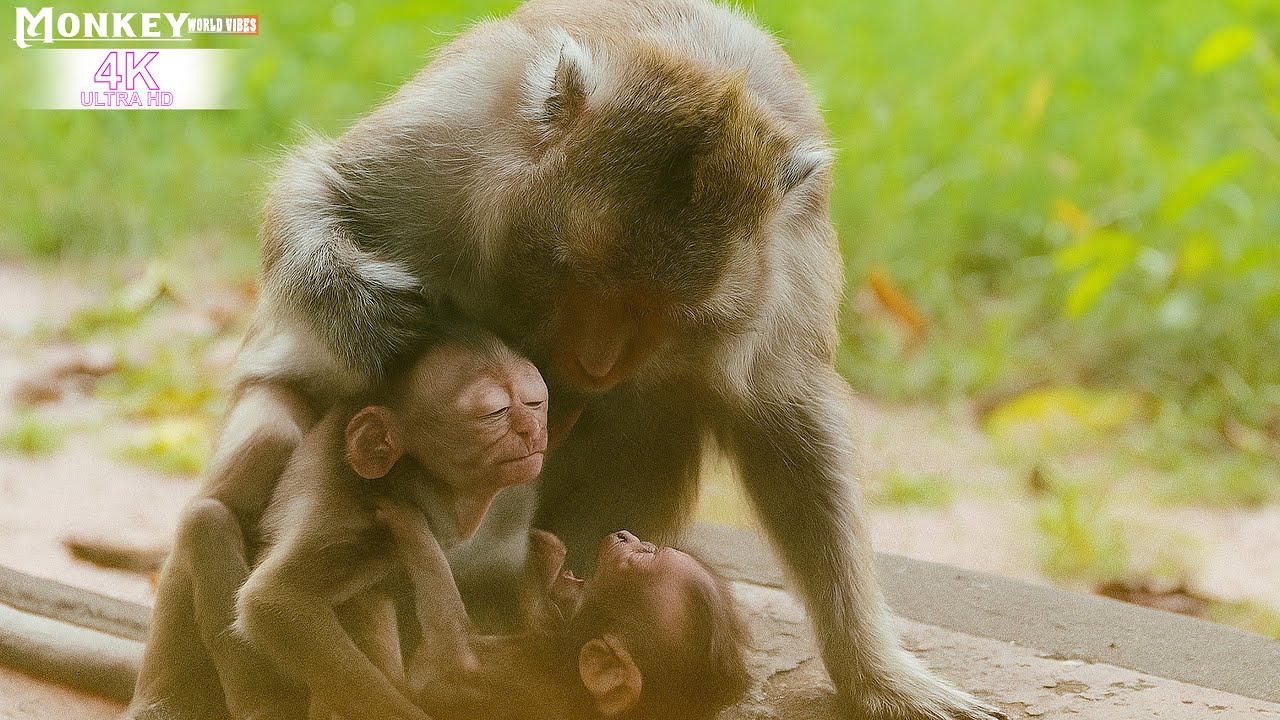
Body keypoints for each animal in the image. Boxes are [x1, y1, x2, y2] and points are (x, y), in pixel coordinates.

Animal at [376, 501, 751, 720]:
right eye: (648, 547)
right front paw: (547, 553)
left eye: (643, 556)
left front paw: (405, 519)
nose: (626, 535)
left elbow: (449, 650)